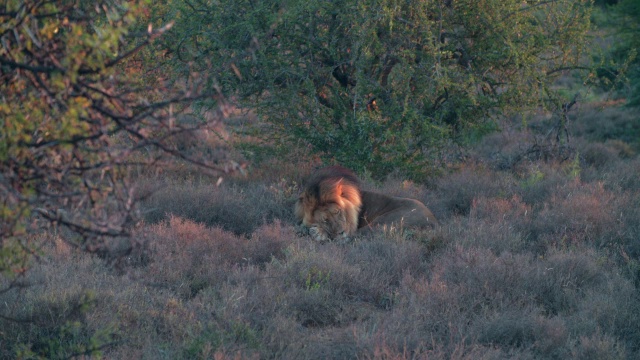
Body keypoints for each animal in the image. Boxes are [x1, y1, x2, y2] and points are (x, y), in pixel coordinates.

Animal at [296, 166, 440, 242]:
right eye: (325, 220)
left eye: (338, 212)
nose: (341, 233)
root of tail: (434, 223)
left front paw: (317, 232)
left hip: (384, 221)